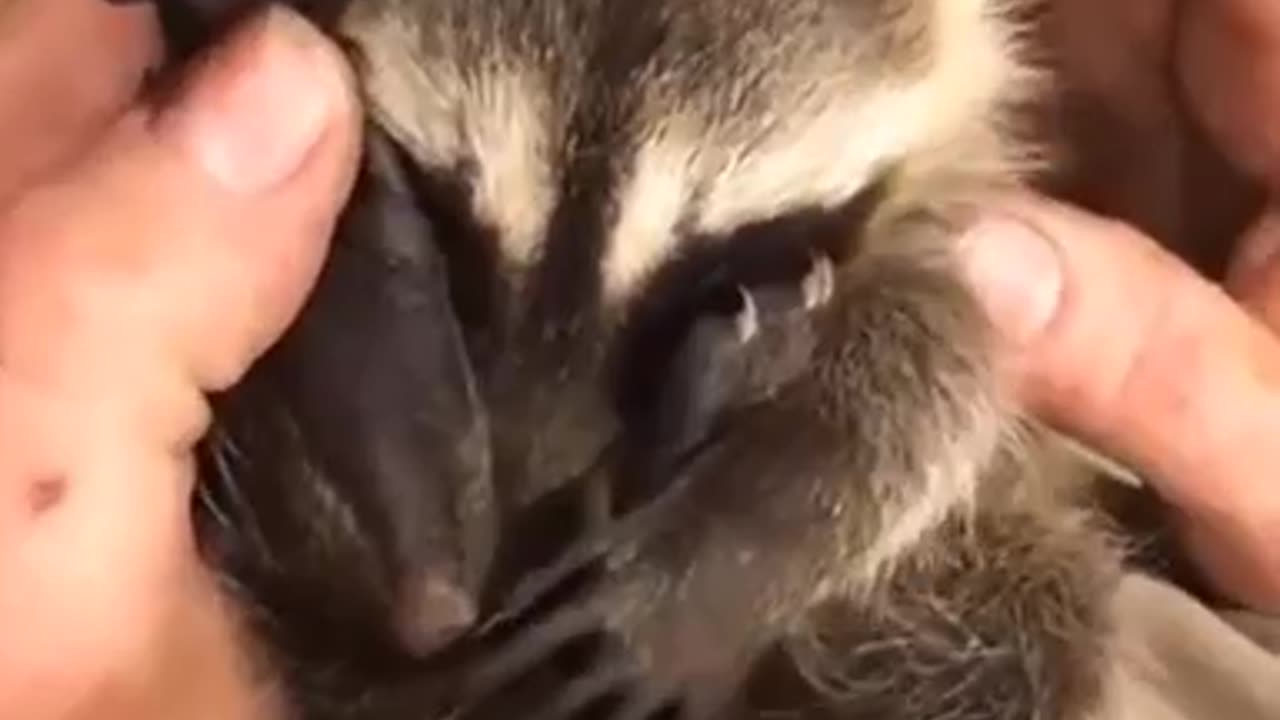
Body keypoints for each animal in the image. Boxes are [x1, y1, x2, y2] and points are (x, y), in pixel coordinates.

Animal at [115, 0, 1167, 712]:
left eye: (711, 267)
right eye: (454, 218)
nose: (519, 525)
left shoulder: (964, 196)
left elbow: (949, 362)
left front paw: (733, 542)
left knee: (1039, 634)